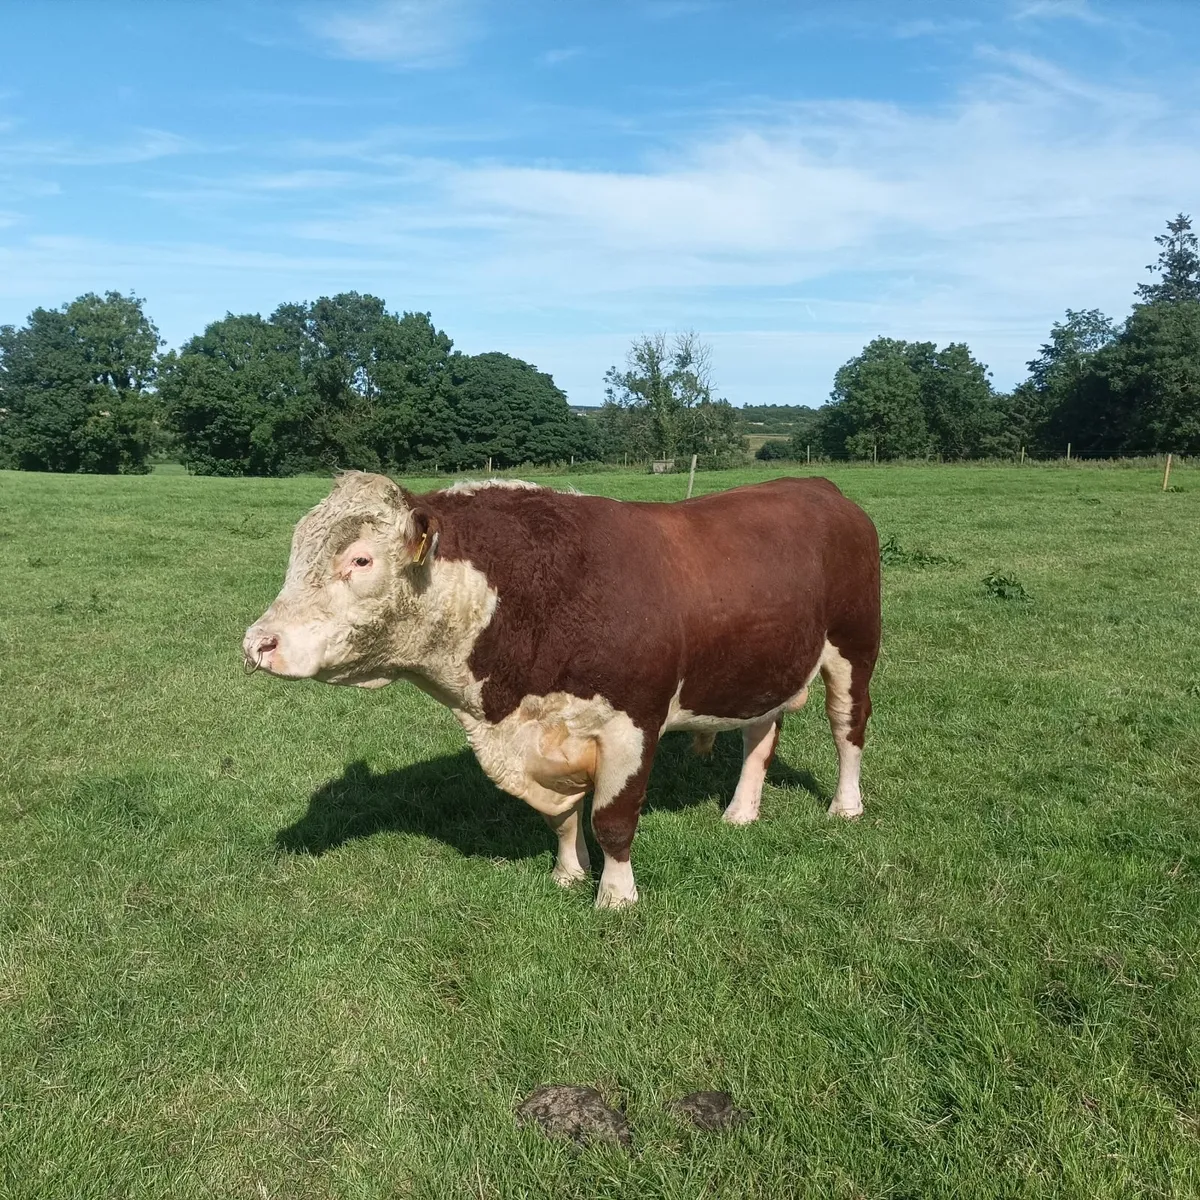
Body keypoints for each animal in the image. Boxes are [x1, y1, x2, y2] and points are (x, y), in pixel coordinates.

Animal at [244, 472, 881, 908]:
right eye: (296, 556)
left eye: (360, 559)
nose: (258, 642)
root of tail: (819, 487)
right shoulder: (544, 735)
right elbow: (565, 818)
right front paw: (568, 873)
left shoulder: (633, 723)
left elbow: (613, 820)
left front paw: (616, 897)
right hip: (760, 666)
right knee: (758, 734)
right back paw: (741, 812)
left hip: (854, 648)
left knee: (848, 728)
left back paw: (846, 806)